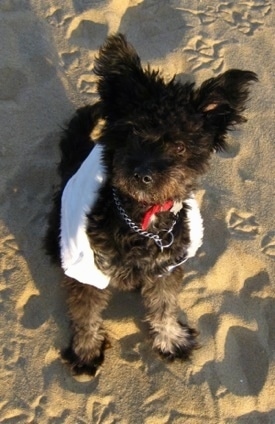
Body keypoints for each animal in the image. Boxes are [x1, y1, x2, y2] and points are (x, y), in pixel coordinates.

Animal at [45, 34, 258, 376]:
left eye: (181, 146)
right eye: (132, 131)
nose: (143, 174)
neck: (140, 220)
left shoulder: (165, 268)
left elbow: (164, 306)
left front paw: (170, 339)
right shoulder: (86, 268)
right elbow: (85, 313)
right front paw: (86, 350)